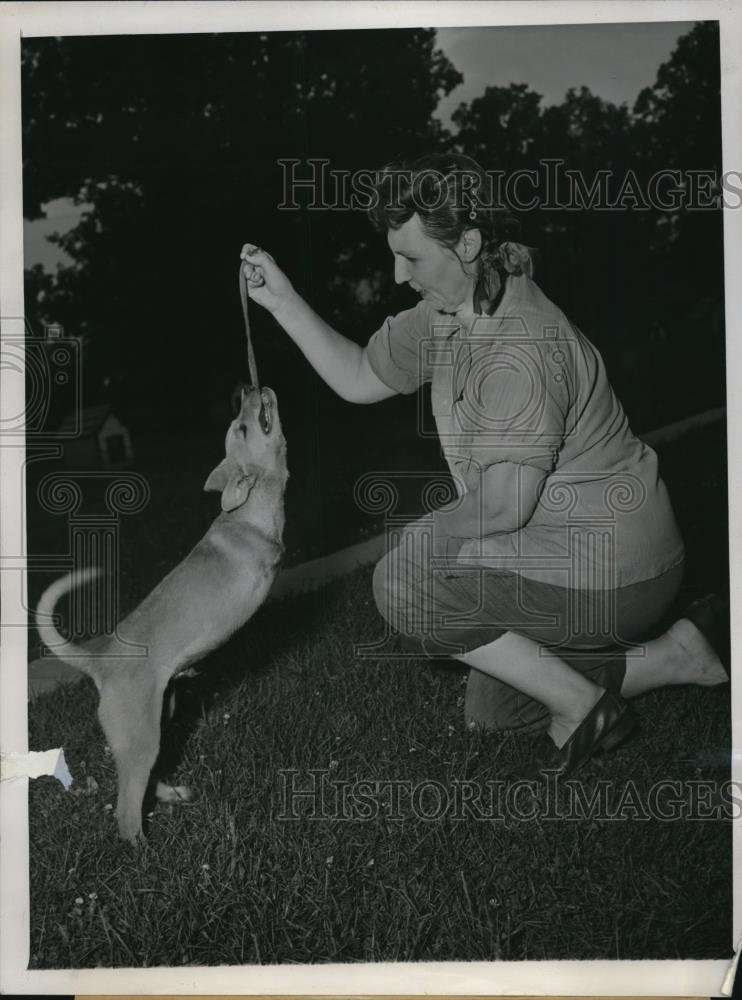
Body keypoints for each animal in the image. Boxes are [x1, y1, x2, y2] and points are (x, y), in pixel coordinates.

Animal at [36, 386, 290, 840]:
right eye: (242, 427)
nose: (248, 388)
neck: (247, 509)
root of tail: (99, 658)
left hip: (161, 714)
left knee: (145, 779)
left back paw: (171, 794)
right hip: (141, 734)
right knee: (126, 807)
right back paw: (141, 844)